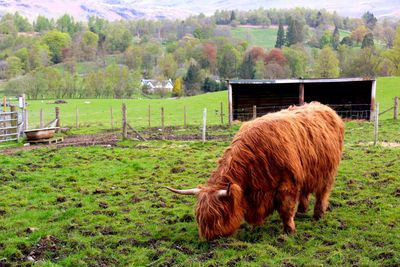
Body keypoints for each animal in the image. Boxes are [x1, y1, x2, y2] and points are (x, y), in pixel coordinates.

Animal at [166, 102, 344, 241]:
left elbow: (286, 210)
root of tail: (326, 108)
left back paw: (318, 215)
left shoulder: (288, 184)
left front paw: (289, 231)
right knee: (305, 192)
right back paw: (301, 211)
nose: (212, 239)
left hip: (327, 172)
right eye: (200, 218)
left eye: (220, 214)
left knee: (322, 193)